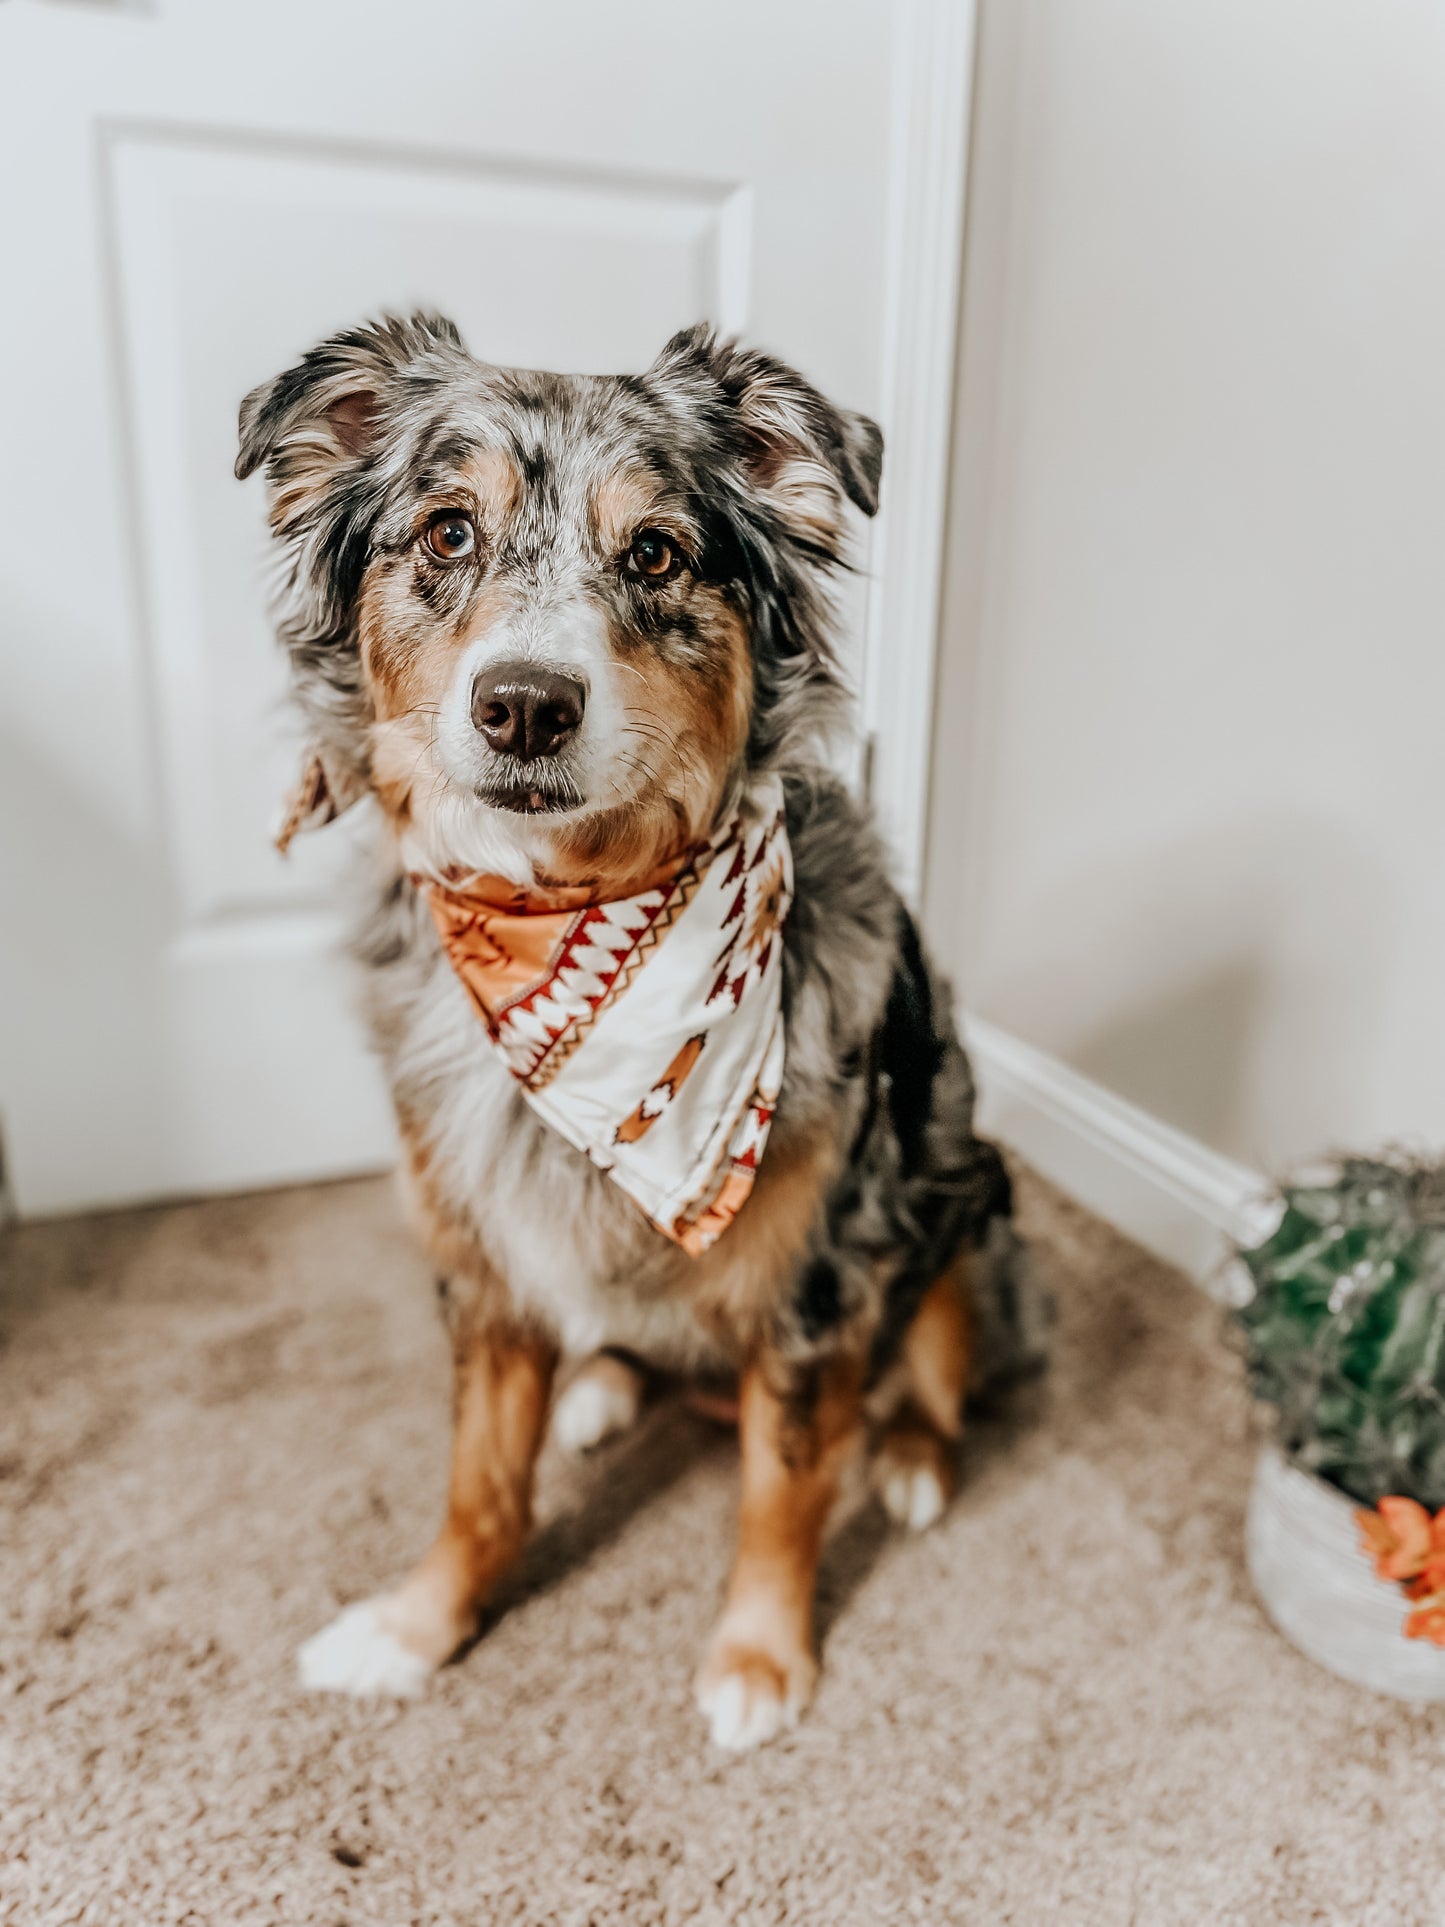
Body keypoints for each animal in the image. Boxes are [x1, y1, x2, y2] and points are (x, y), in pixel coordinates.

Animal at [240, 312, 1055, 1749]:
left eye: (657, 552)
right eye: (445, 532)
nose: (523, 703)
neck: (566, 904)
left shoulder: (816, 1272)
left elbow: (781, 1483)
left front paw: (758, 1658)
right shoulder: (482, 1256)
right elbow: (476, 1481)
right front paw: (417, 1624)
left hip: (963, 1194)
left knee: (933, 1357)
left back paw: (907, 1455)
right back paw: (603, 1389)